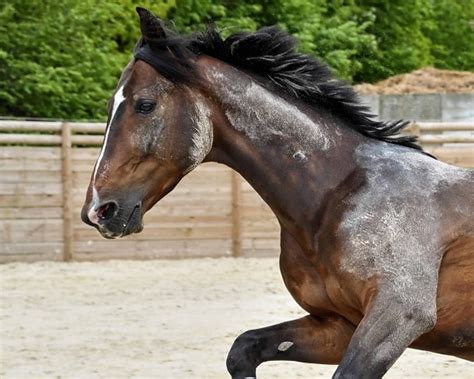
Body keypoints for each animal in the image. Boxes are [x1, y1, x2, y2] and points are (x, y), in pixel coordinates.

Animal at [82, 7, 474, 378]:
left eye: (144, 104)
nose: (98, 210)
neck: (335, 198)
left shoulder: (397, 316)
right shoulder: (338, 325)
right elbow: (243, 349)